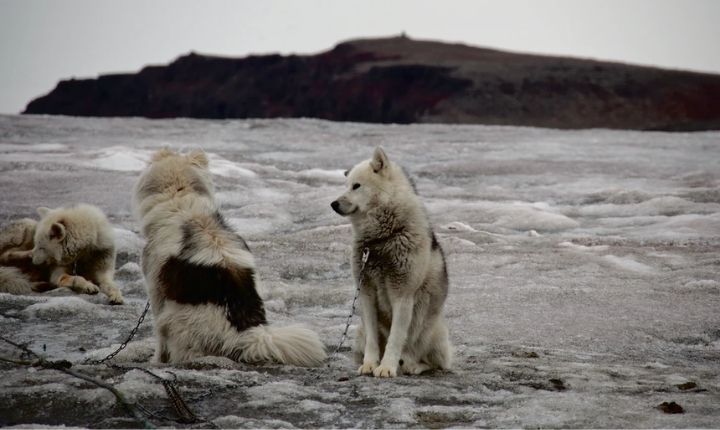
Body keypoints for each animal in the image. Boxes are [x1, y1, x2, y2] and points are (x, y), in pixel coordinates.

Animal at [133, 149, 326, 366]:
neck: (180, 195)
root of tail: (247, 335)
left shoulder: (156, 289)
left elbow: (160, 342)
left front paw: (157, 361)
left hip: (173, 318)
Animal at [330, 147, 450, 376]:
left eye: (356, 186)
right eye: (346, 185)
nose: (333, 203)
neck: (381, 238)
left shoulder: (402, 296)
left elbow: (396, 339)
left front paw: (386, 367)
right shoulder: (366, 293)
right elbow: (373, 340)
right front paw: (370, 364)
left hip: (430, 333)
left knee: (429, 361)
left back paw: (412, 365)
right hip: (359, 333)